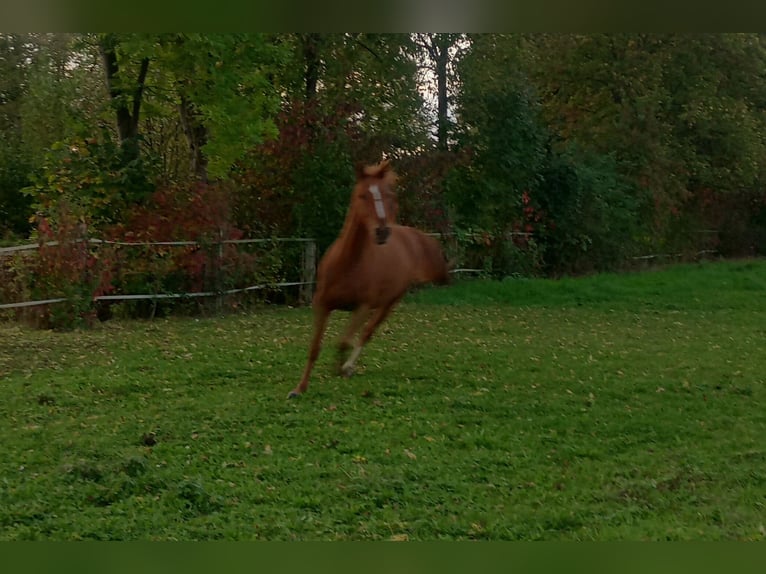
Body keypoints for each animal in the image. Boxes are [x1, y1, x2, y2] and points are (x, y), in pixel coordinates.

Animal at [288, 159, 449, 398]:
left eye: (388, 195)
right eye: (362, 195)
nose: (382, 232)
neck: (348, 264)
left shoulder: (362, 306)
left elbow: (344, 341)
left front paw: (341, 368)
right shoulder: (322, 304)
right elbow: (315, 347)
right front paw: (299, 389)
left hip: (390, 302)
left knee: (367, 332)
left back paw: (348, 366)